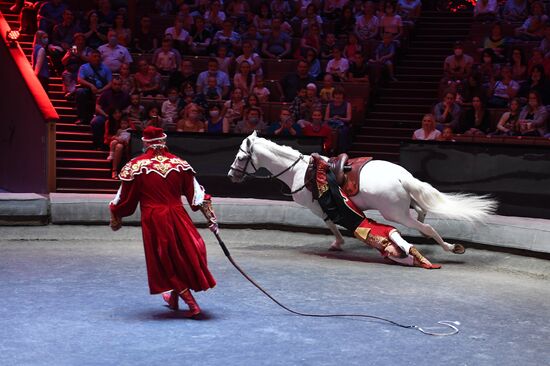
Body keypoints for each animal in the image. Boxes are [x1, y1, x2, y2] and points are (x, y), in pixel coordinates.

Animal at [229, 132, 500, 254]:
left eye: (241, 157)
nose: (232, 175)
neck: (298, 171)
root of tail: (402, 177)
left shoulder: (317, 206)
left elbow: (331, 223)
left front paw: (337, 242)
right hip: (404, 207)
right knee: (422, 211)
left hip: (394, 214)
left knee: (427, 227)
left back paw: (448, 246)